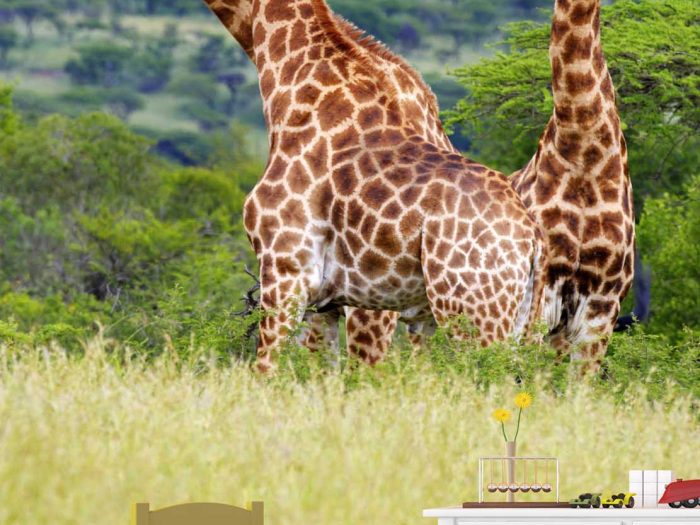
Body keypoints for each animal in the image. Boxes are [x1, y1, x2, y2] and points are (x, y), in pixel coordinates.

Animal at [205, 0, 546, 372]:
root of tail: (532, 238)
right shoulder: (323, 303)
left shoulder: (287, 269)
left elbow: (266, 369)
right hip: (518, 318)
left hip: (472, 311)